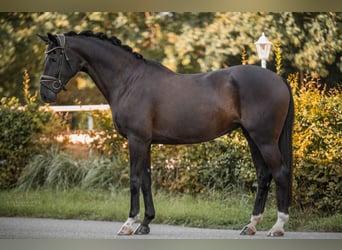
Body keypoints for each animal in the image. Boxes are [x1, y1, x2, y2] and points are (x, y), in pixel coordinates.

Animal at [38, 30, 294, 236]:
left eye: (54, 57)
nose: (44, 94)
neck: (129, 80)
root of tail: (278, 79)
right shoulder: (147, 142)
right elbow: (146, 180)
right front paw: (145, 224)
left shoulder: (137, 140)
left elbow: (134, 179)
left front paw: (129, 224)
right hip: (252, 137)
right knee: (263, 175)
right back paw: (251, 225)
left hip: (264, 139)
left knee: (280, 173)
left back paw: (277, 227)